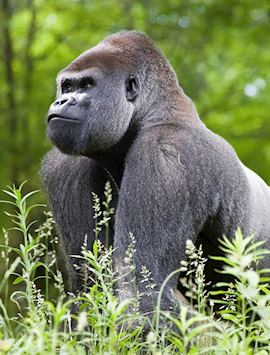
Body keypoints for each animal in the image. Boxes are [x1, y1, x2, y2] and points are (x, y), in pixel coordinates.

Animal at [41, 29, 270, 314]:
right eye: (67, 87)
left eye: (86, 85)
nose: (61, 101)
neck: (154, 114)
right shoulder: (67, 167)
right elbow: (91, 287)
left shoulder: (165, 156)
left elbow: (144, 289)